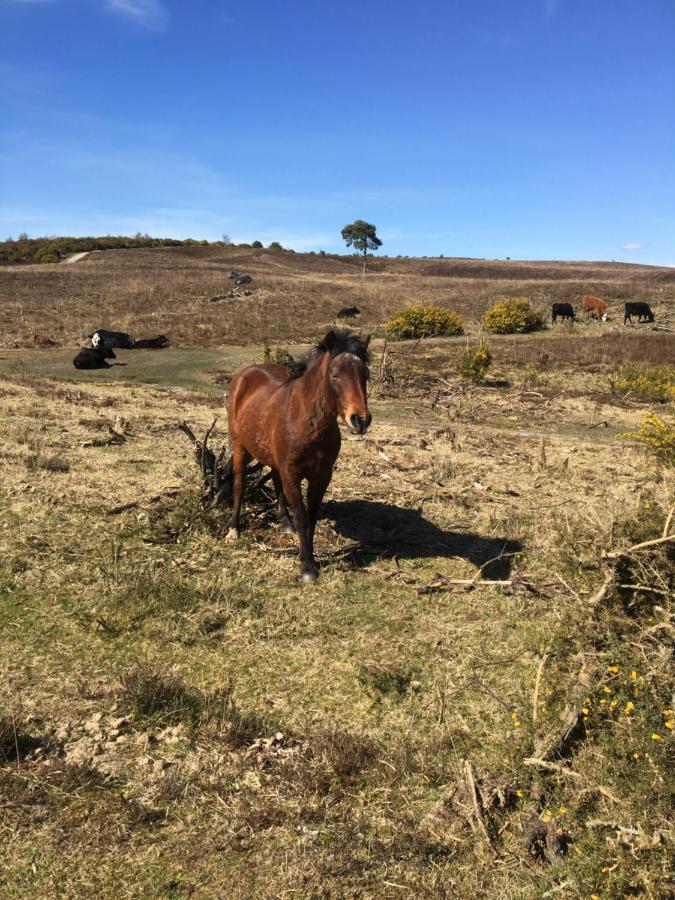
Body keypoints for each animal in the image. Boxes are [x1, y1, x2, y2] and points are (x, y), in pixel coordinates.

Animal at [227, 330, 374, 584]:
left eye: (365, 375)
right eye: (335, 375)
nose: (361, 420)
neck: (306, 420)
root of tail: (244, 375)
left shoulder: (321, 476)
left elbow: (312, 517)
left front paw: (310, 558)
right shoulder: (292, 473)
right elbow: (302, 516)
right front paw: (307, 568)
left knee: (275, 481)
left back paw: (285, 523)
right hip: (239, 447)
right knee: (239, 484)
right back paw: (234, 529)